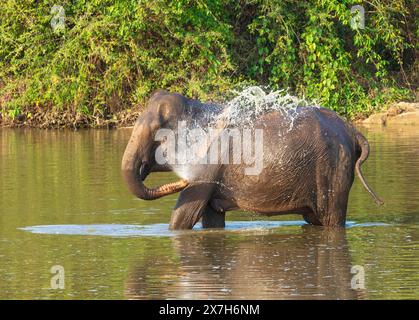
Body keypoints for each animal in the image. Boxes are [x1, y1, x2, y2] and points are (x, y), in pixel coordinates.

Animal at [121, 90, 384, 229]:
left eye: (158, 132)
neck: (196, 108)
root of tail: (353, 130)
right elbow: (211, 219)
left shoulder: (207, 164)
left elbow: (185, 214)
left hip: (334, 167)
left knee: (331, 220)